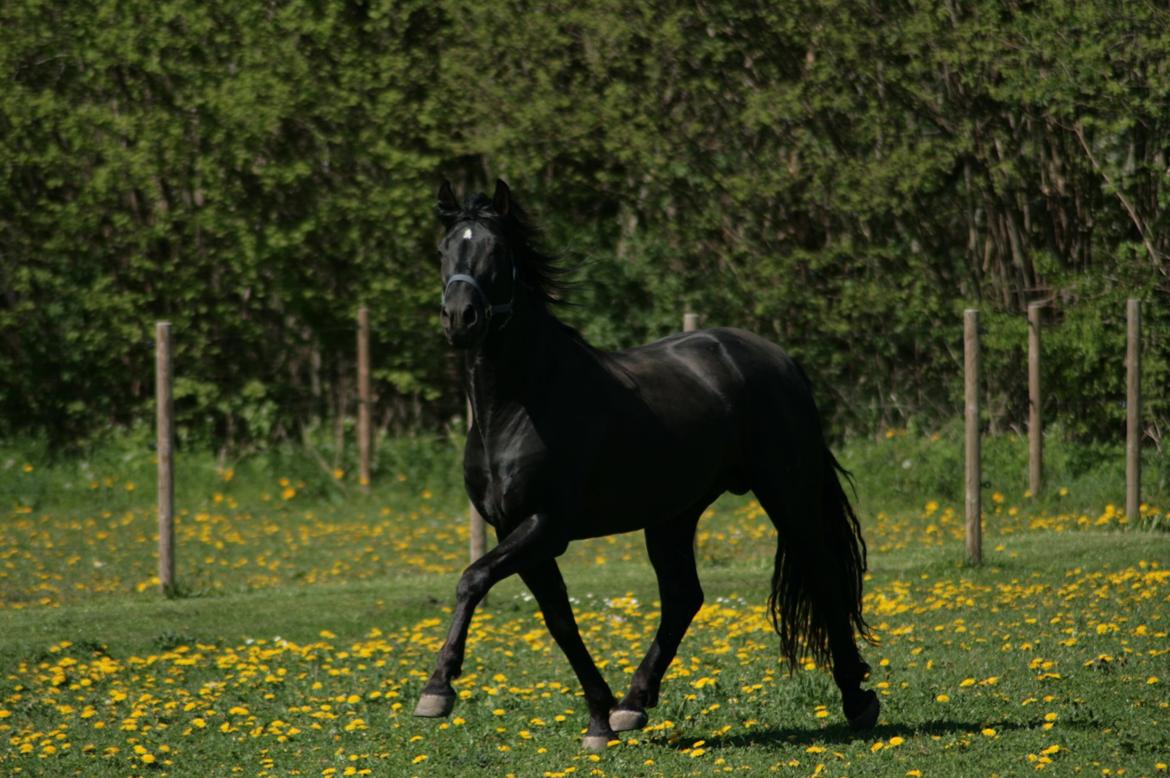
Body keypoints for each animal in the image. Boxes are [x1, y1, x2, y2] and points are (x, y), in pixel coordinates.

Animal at [411, 178, 879, 748]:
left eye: (497, 250)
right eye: (444, 250)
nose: (461, 317)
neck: (519, 407)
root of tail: (779, 359)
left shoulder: (546, 526)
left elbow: (472, 579)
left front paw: (437, 688)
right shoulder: (515, 530)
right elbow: (559, 621)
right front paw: (599, 718)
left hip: (784, 491)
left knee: (823, 572)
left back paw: (857, 698)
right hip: (673, 515)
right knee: (683, 598)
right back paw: (634, 704)